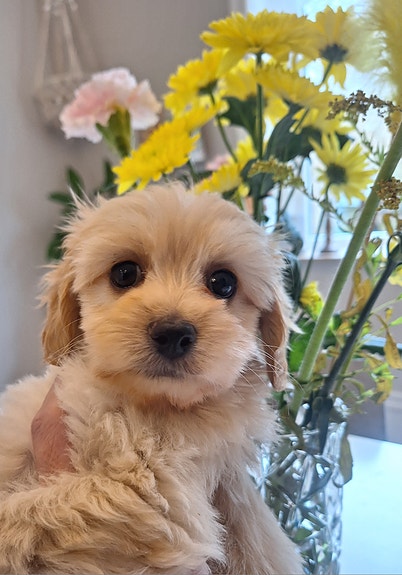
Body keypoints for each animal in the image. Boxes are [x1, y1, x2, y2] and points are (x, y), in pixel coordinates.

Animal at [0, 183, 302, 574]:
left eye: (223, 283)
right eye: (124, 273)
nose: (173, 333)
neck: (140, 402)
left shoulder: (146, 493)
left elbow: (28, 514)